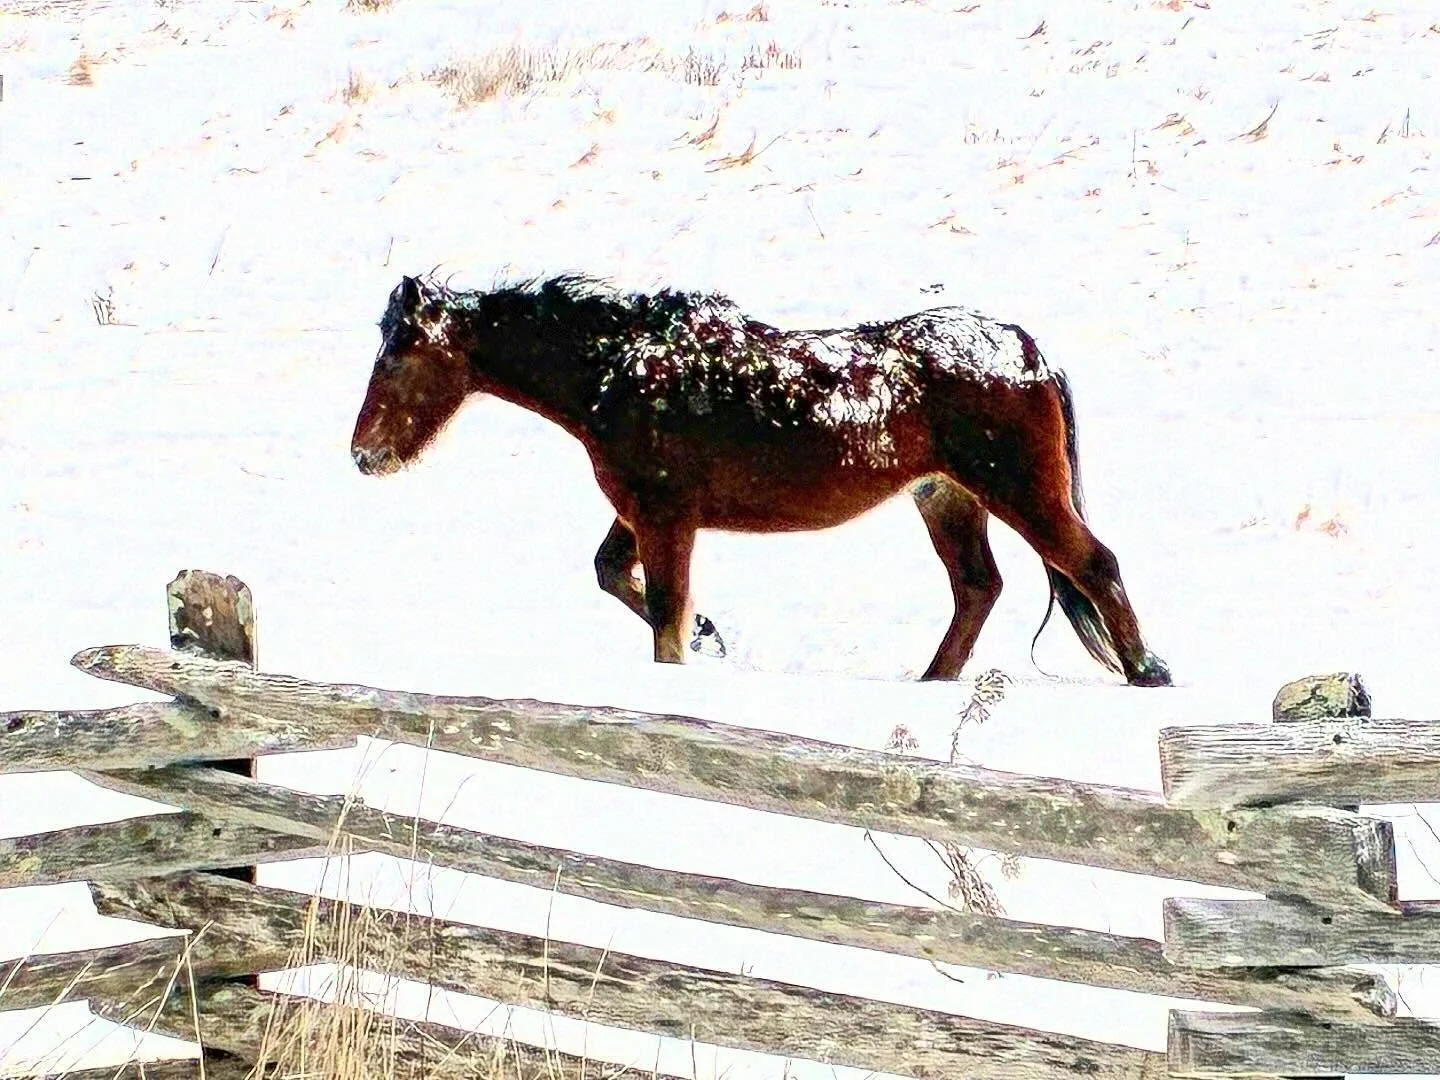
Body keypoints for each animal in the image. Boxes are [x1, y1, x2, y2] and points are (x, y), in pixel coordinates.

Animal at [350, 273, 1172, 687]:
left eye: (399, 353)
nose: (363, 454)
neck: (619, 371)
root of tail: (1027, 351)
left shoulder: (665, 516)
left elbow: (663, 619)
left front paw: (690, 649)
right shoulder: (646, 511)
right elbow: (615, 575)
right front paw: (712, 633)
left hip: (1018, 489)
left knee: (1092, 563)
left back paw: (1147, 672)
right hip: (947, 497)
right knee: (978, 588)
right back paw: (934, 683)